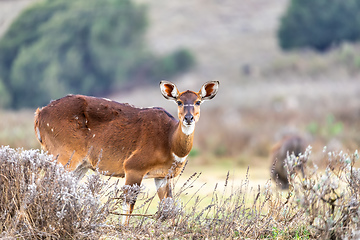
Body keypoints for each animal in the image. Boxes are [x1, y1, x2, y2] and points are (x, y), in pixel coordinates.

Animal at [34, 80, 219, 223]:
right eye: (179, 101)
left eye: (198, 101)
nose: (188, 118)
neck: (169, 141)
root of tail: (40, 113)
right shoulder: (133, 167)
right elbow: (128, 205)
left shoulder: (163, 176)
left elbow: (169, 205)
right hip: (63, 156)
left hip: (80, 165)